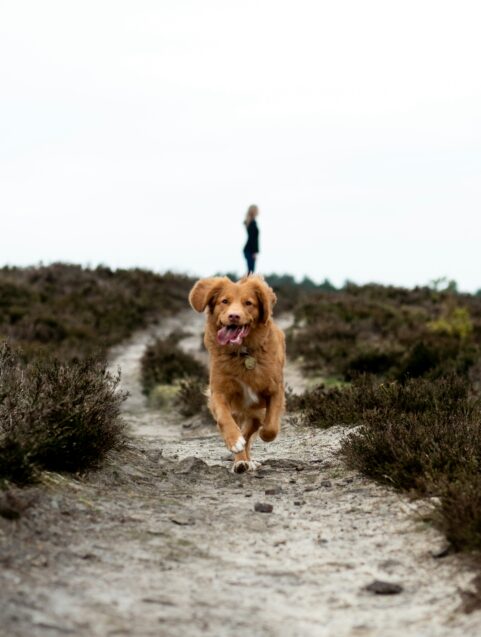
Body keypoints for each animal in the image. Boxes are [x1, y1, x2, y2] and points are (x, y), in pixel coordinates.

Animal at [188, 274, 284, 472]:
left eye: (248, 303)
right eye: (224, 301)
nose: (234, 316)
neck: (243, 353)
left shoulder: (275, 390)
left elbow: (270, 427)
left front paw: (263, 435)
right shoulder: (219, 392)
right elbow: (224, 419)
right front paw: (234, 442)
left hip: (254, 412)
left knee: (251, 430)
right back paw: (241, 462)